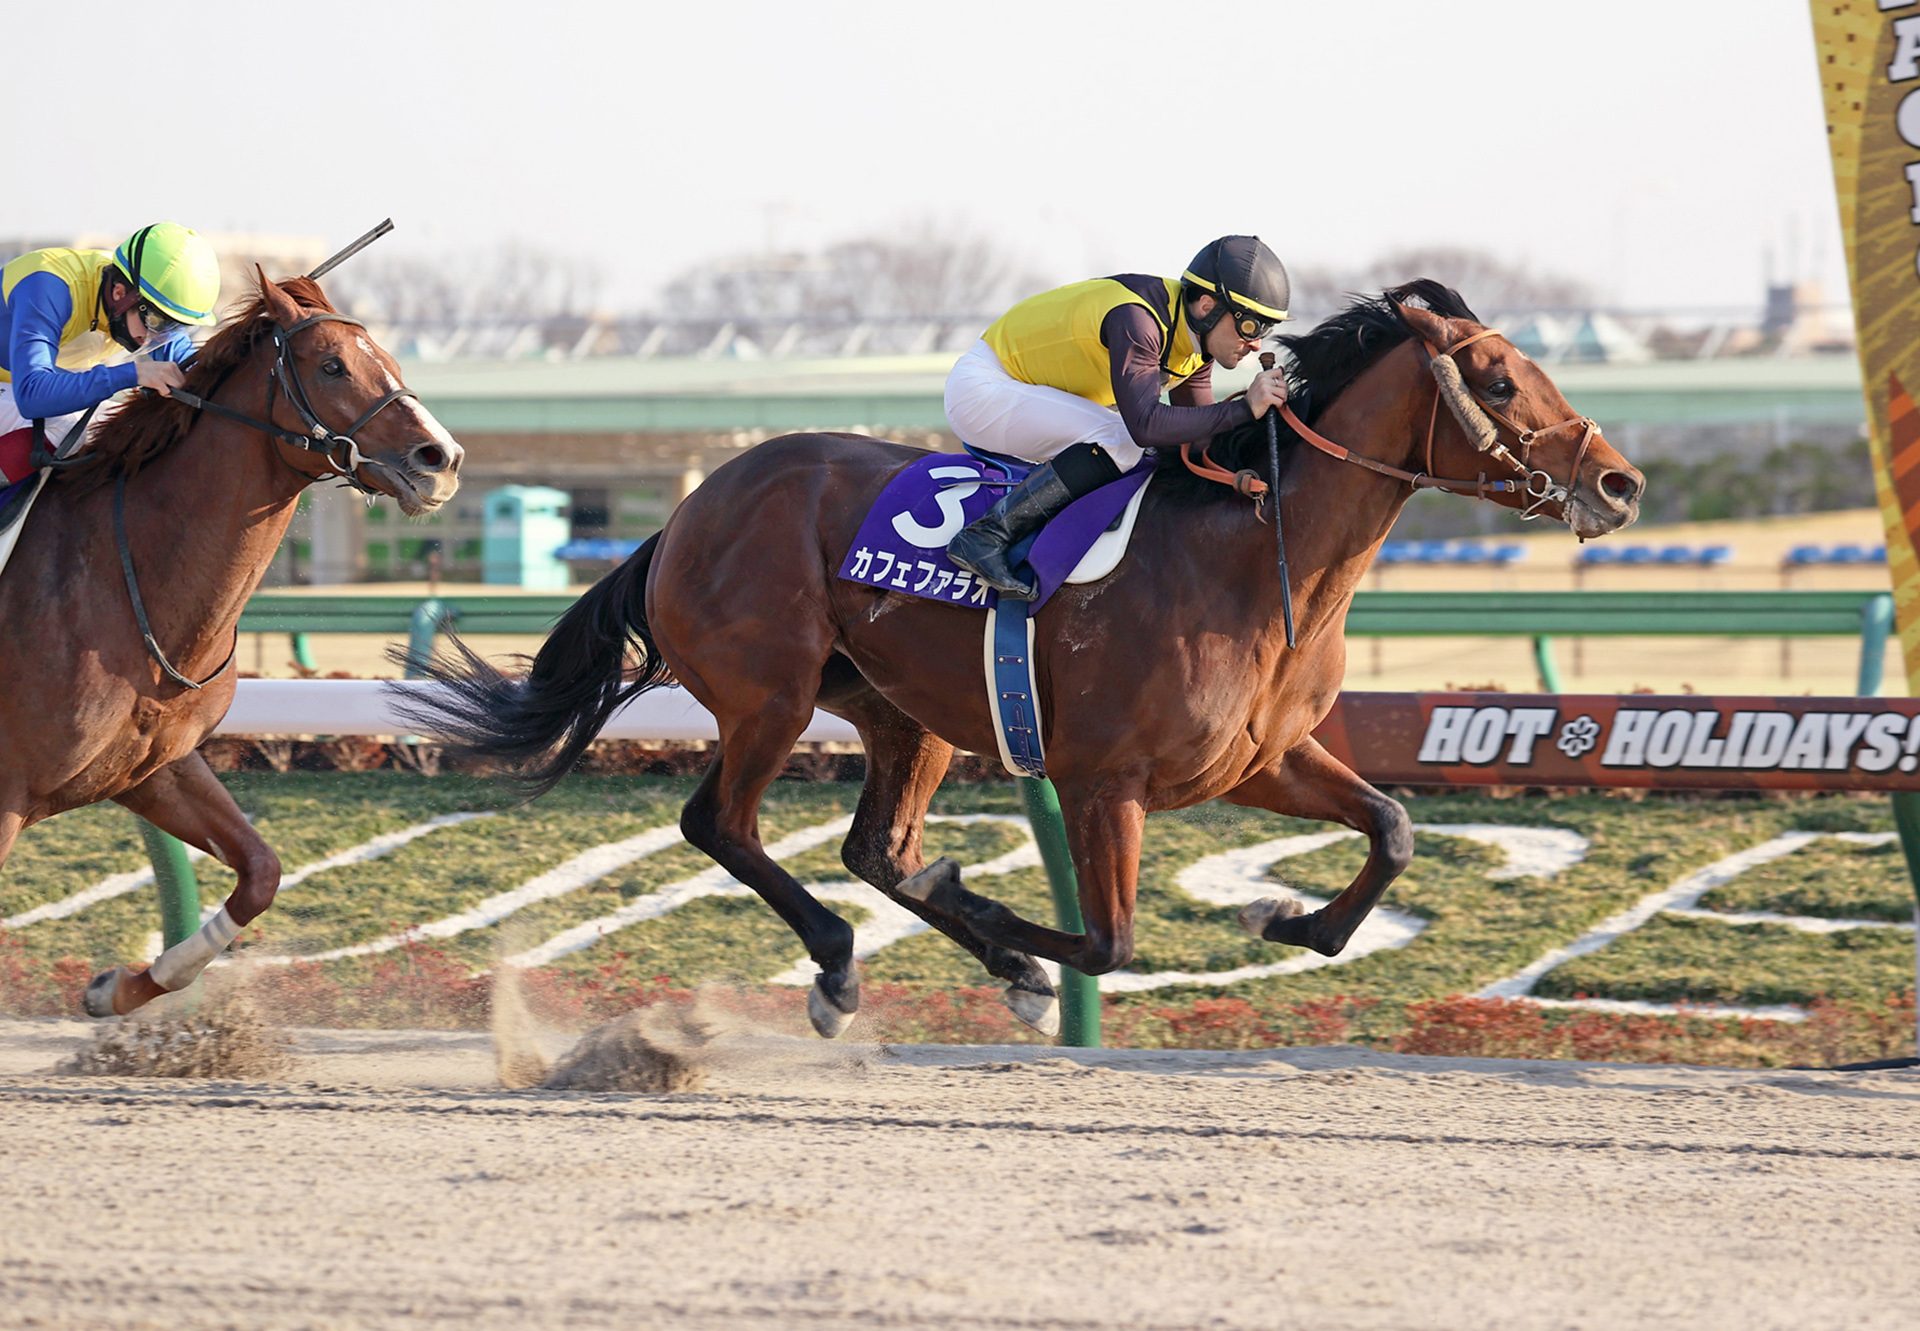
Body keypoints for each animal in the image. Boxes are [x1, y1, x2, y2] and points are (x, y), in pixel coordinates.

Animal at [0, 272, 462, 1014]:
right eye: (331, 365)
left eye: (388, 354)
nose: (441, 459)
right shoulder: (8, 793)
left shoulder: (150, 767)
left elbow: (260, 871)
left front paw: (122, 987)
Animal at [401, 282, 1635, 1037]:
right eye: (1501, 380)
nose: (1619, 483)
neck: (1252, 555)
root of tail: (692, 506)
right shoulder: (1102, 780)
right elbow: (1110, 937)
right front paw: (1001, 924)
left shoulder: (1258, 760)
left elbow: (1394, 825)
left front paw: (1290, 922)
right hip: (771, 696)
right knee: (724, 824)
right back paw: (846, 965)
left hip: (901, 711)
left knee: (872, 846)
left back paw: (930, 958)